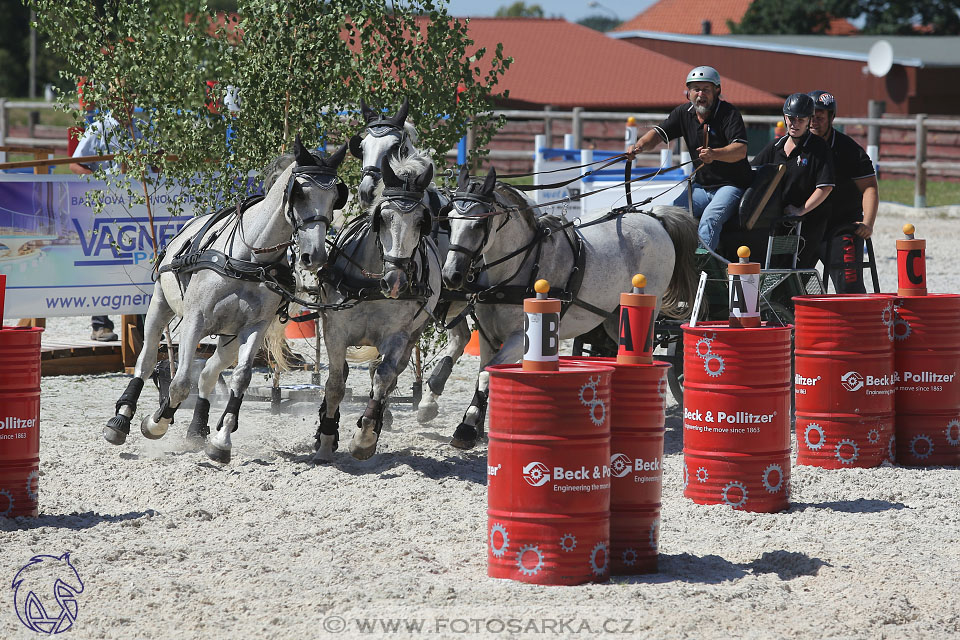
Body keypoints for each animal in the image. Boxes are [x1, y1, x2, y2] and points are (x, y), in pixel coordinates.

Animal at [106, 138, 348, 462]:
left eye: (336, 197)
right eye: (300, 192)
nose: (316, 255)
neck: (248, 258)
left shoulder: (254, 328)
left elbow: (240, 378)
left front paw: (221, 440)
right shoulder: (195, 321)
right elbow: (179, 383)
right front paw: (155, 423)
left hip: (229, 339)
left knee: (208, 374)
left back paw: (197, 430)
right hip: (161, 306)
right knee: (145, 362)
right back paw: (121, 420)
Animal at [318, 148, 446, 462]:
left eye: (421, 221)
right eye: (384, 218)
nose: (396, 282)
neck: (372, 284)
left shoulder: (398, 335)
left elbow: (384, 378)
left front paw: (364, 438)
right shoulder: (335, 331)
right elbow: (336, 384)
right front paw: (326, 439)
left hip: (413, 335)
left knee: (388, 374)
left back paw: (375, 422)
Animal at [440, 170, 696, 450]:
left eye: (478, 224)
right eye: (449, 221)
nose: (450, 275)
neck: (517, 269)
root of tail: (653, 217)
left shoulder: (520, 338)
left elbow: (487, 375)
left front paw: (471, 425)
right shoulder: (488, 337)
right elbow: (482, 375)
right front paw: (469, 428)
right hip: (614, 317)